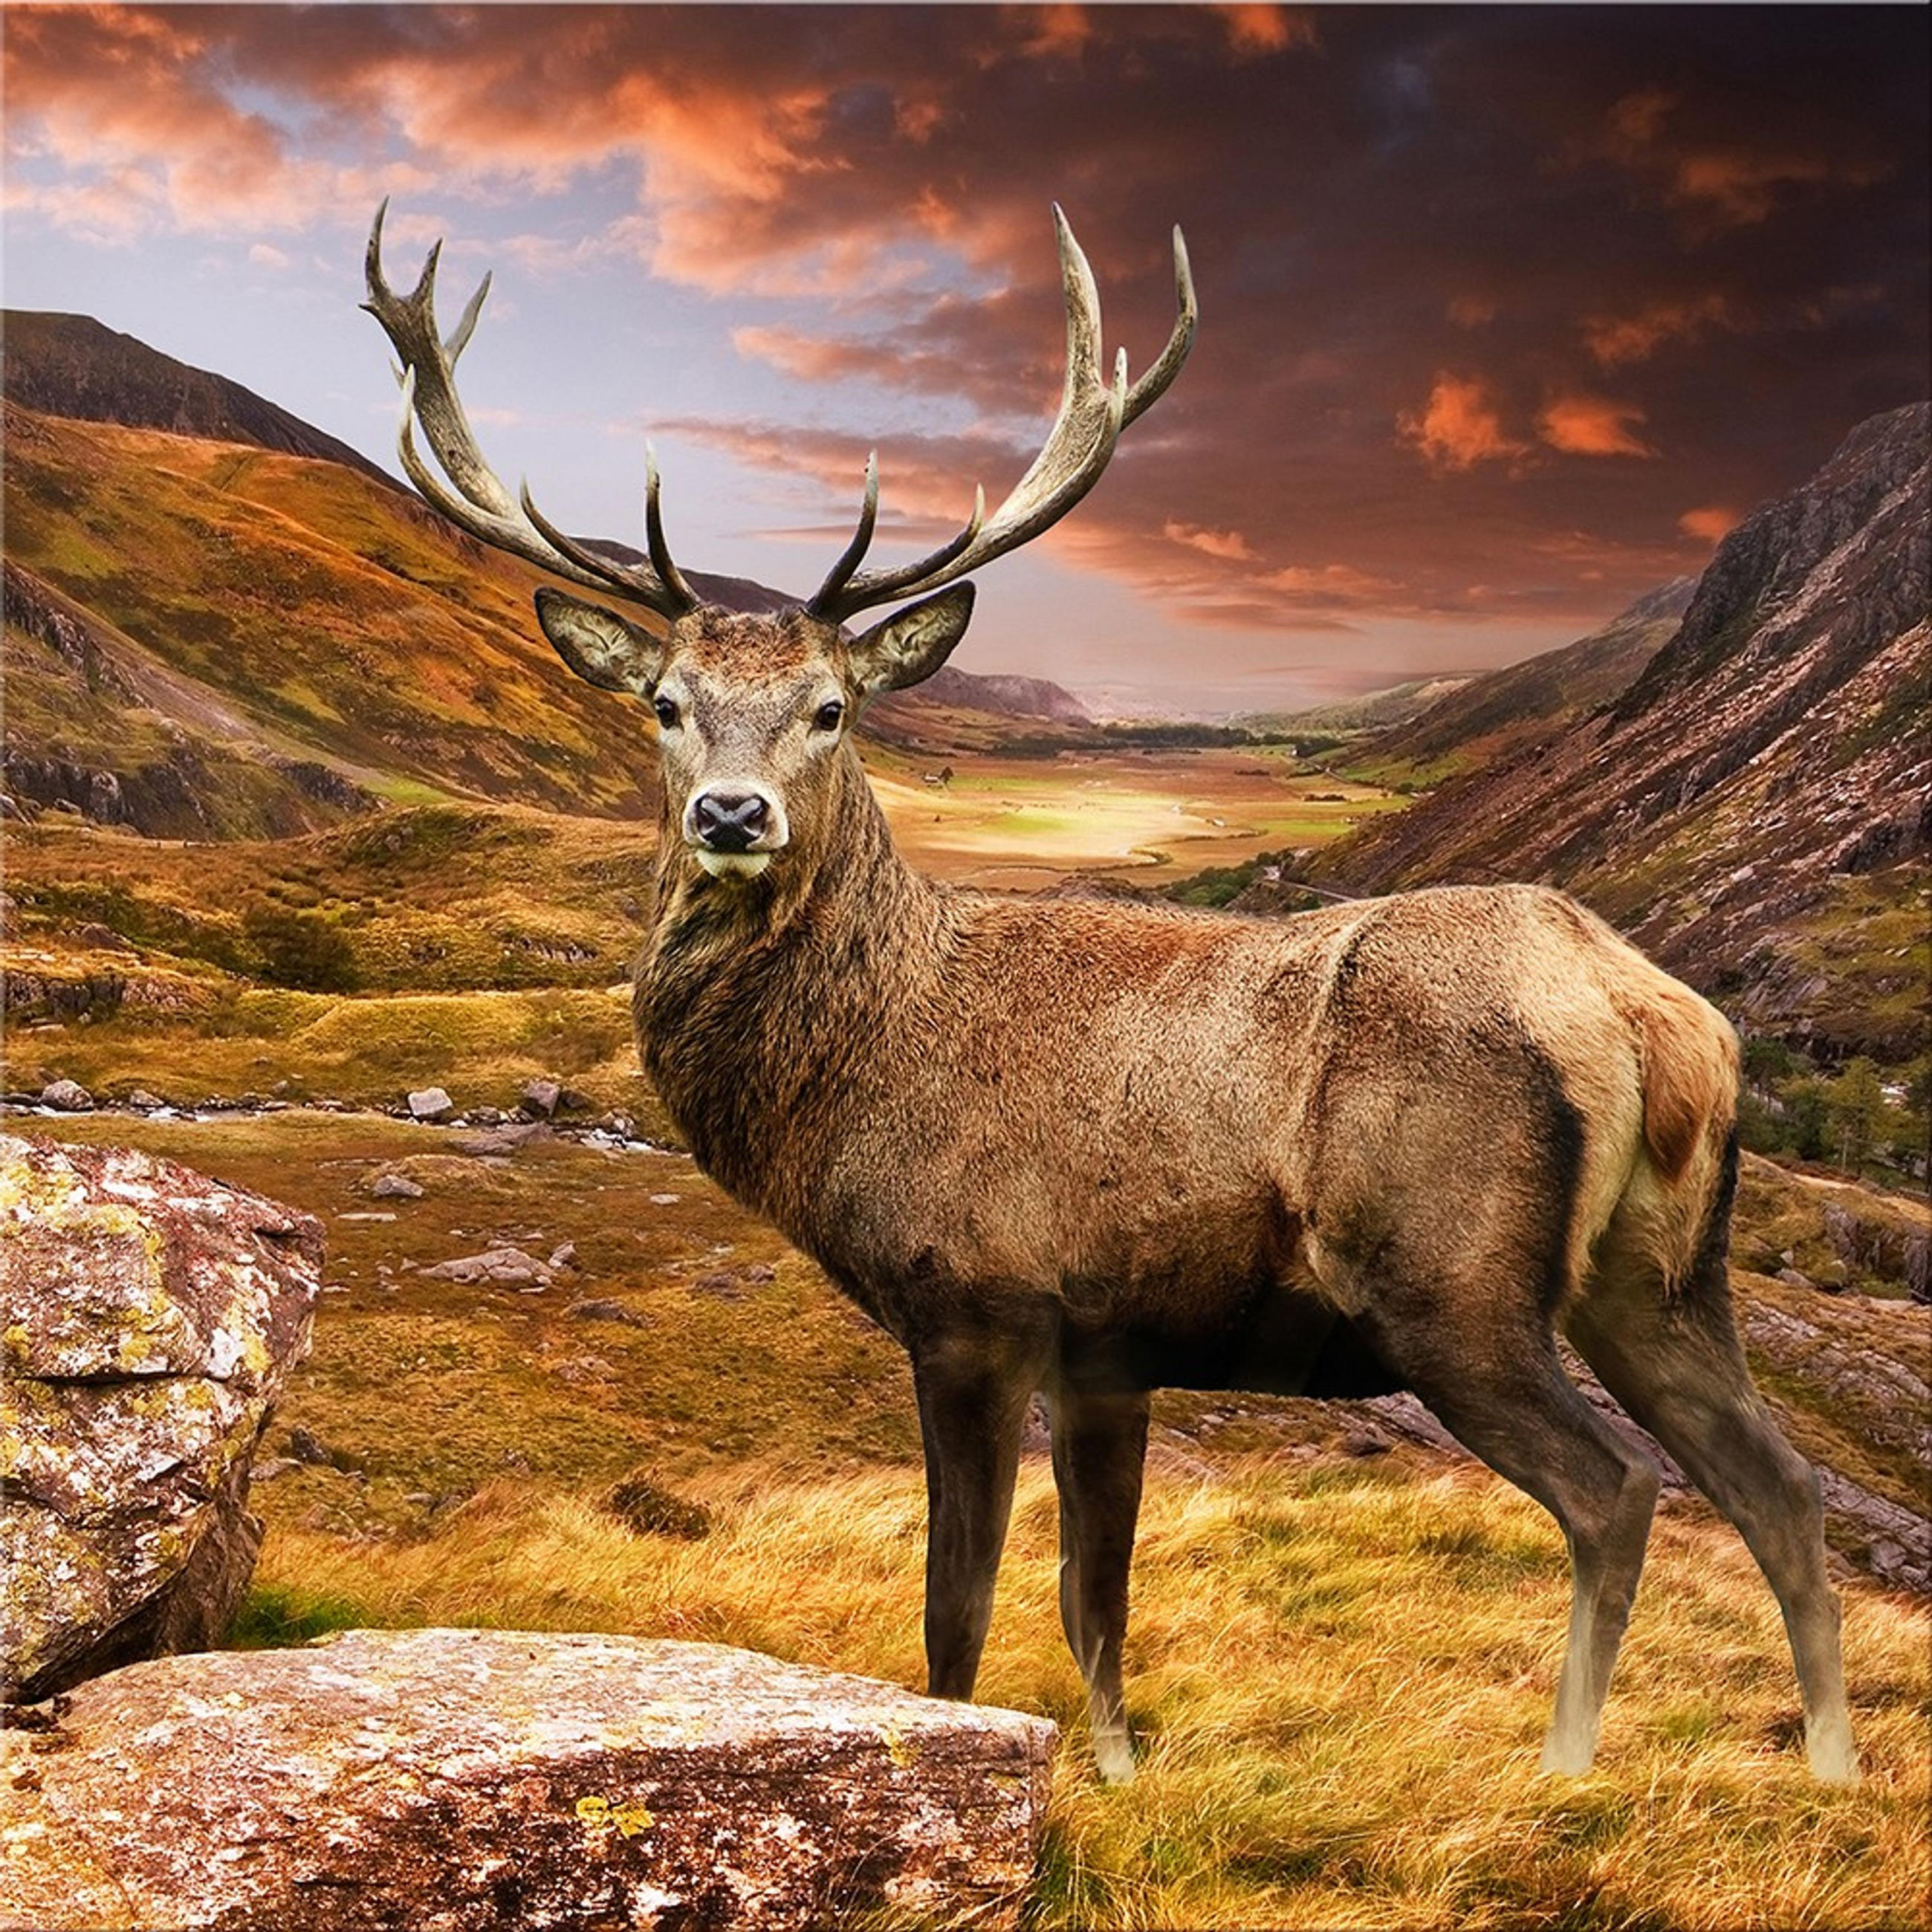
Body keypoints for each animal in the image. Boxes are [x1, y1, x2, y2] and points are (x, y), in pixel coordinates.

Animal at [363, 201, 1858, 1787]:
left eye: (832, 709)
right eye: (664, 705)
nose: (729, 815)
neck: (861, 1078)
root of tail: (1652, 1017)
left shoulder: (975, 1300)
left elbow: (958, 1608)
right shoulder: (1111, 1352)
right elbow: (1097, 1600)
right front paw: (1119, 1775)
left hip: (1451, 1282)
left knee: (1617, 1492)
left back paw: (1567, 1767)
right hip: (1663, 1277)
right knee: (1782, 1486)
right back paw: (1834, 1769)